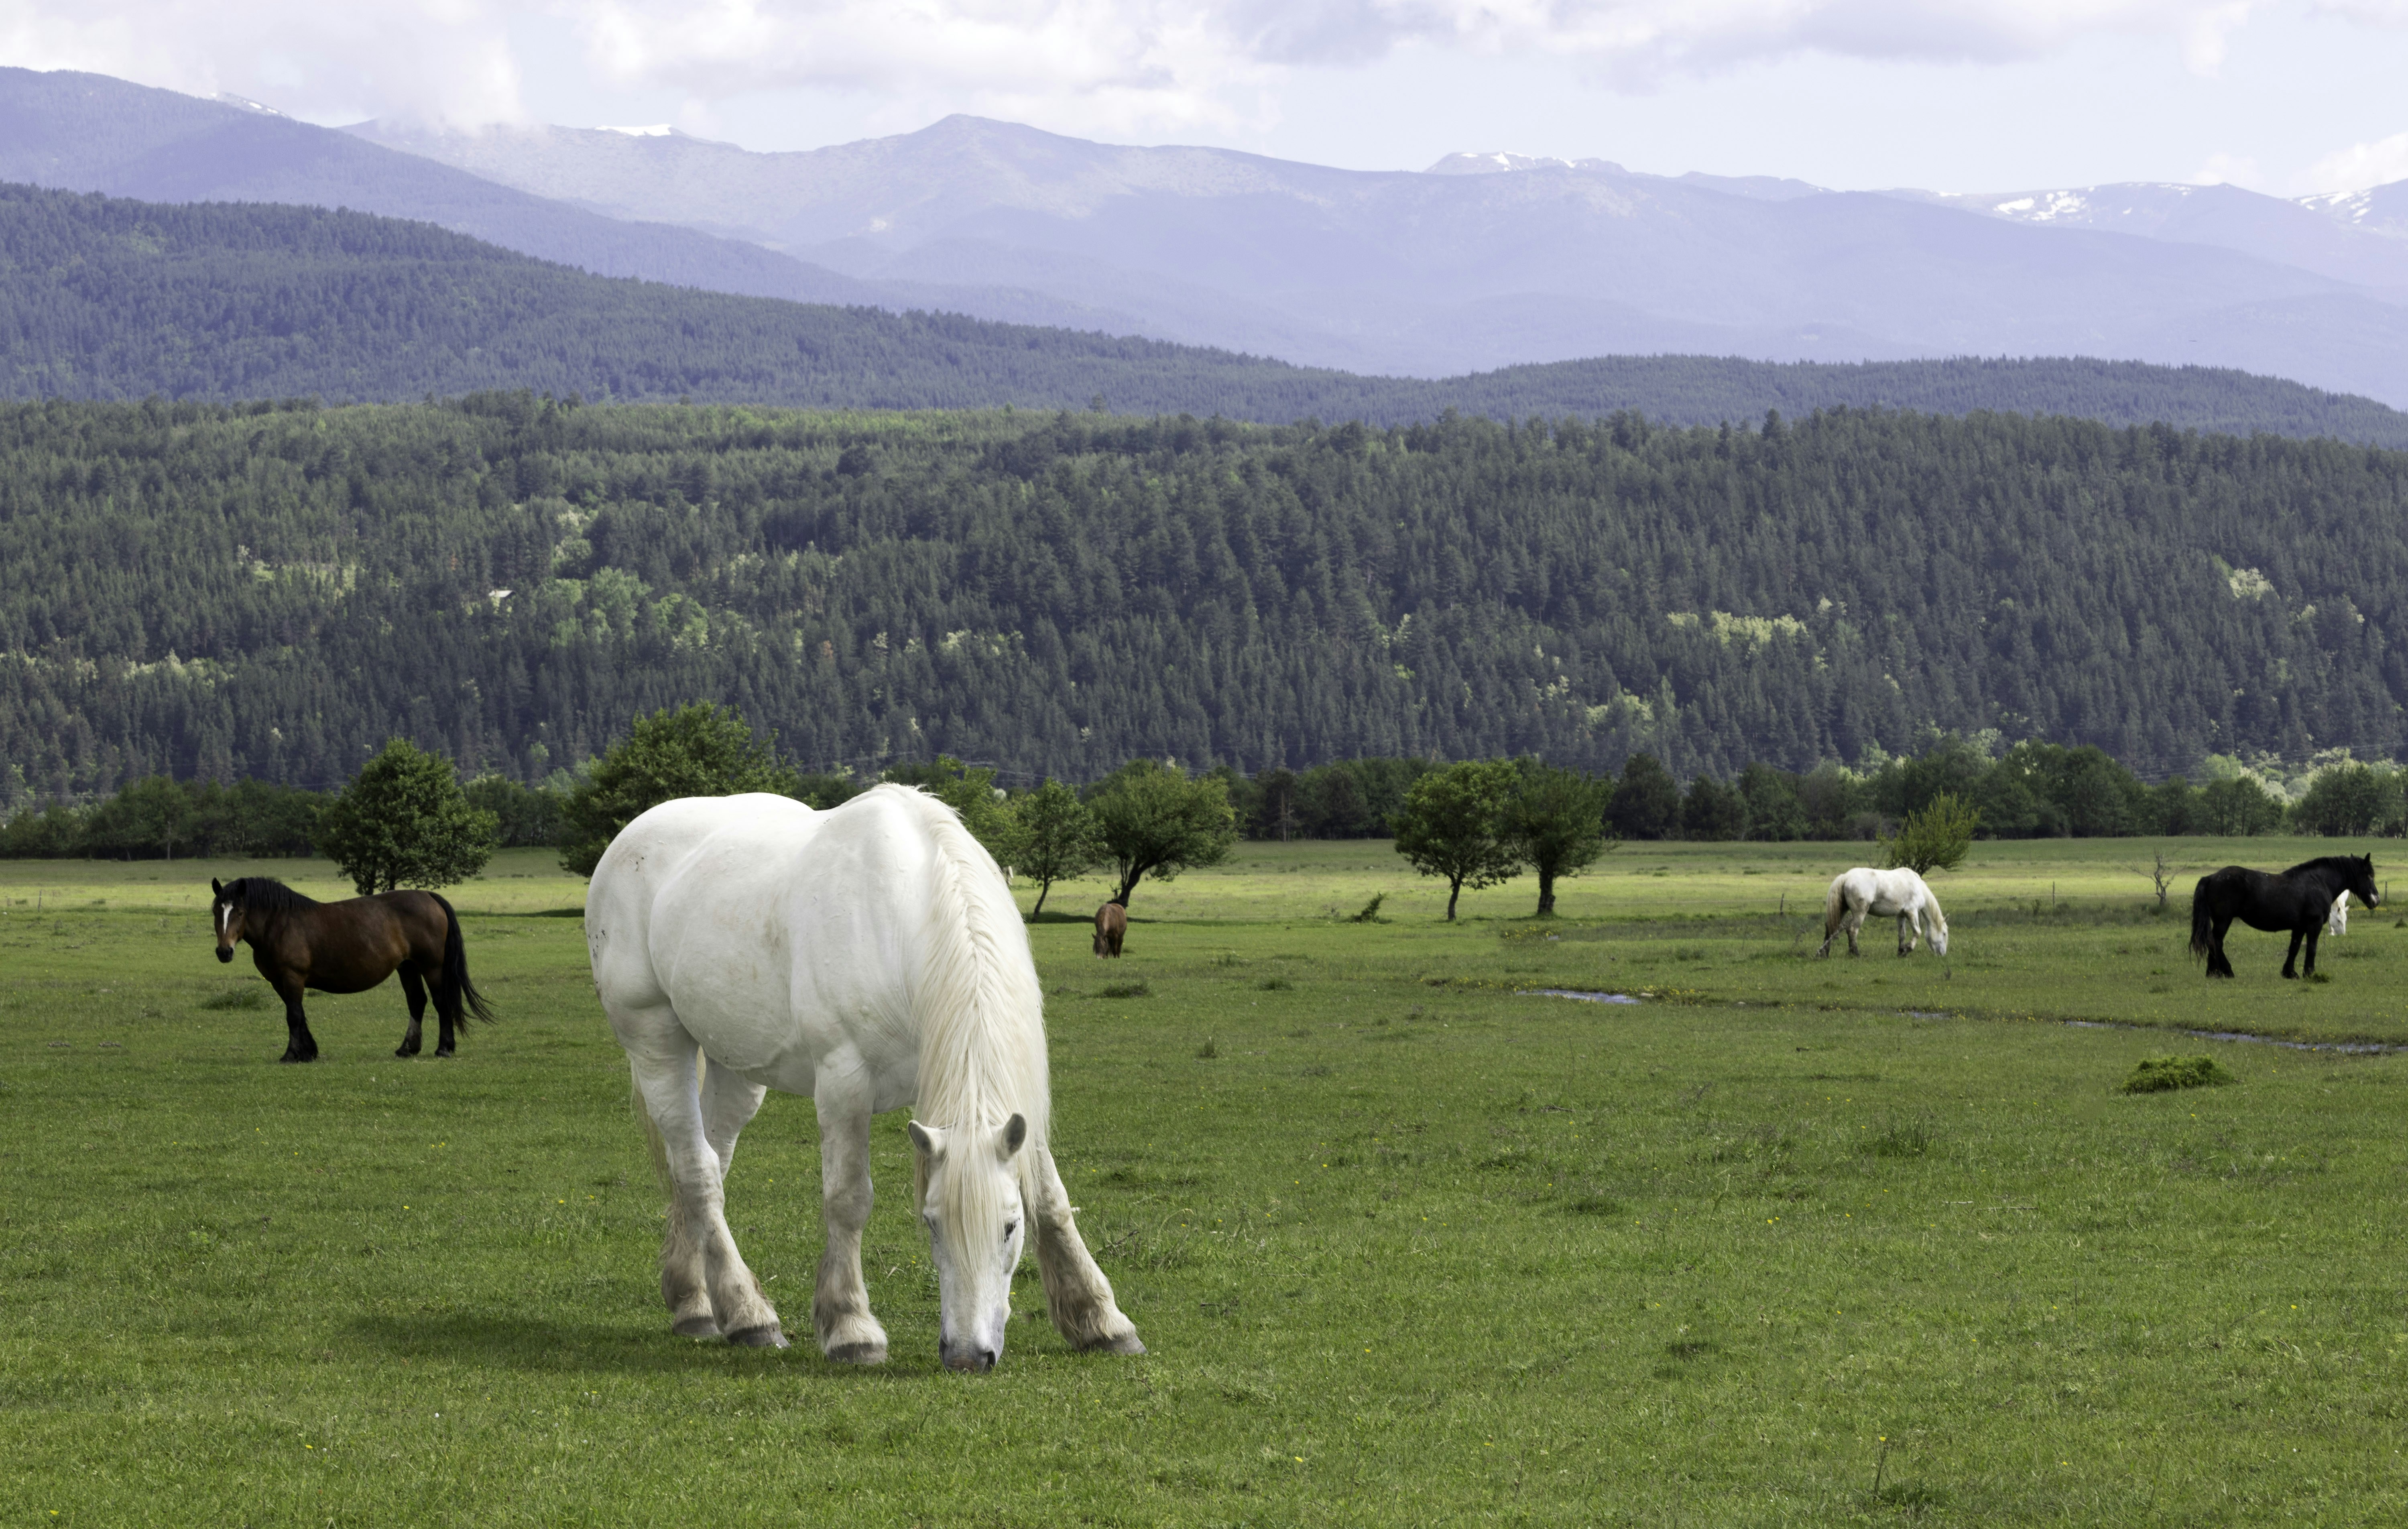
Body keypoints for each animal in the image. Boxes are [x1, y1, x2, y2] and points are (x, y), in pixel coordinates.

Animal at [210, 876, 494, 1062]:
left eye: (240, 912)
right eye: (216, 911)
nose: (224, 952)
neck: (281, 924)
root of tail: (428, 896)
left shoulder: (293, 977)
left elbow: (293, 1015)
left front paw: (292, 1054)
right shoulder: (279, 981)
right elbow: (299, 1014)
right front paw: (309, 1052)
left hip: (432, 966)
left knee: (440, 1002)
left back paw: (444, 1048)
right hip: (408, 967)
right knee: (417, 1002)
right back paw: (407, 1049)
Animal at [1093, 901, 1127, 958]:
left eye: (1103, 946)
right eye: (1096, 946)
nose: (1099, 958)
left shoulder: (1116, 936)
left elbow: (1115, 948)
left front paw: (1115, 957)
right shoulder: (1106, 935)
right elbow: (1108, 947)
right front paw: (1106, 957)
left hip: (1121, 936)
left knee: (1119, 947)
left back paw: (1118, 956)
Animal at [1815, 867, 1950, 958]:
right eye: (1944, 934)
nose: (1943, 954)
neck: (1919, 888)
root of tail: (1846, 877)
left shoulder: (1901, 915)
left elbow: (1902, 934)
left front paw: (1901, 952)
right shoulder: (1911, 912)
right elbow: (1917, 933)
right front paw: (1908, 949)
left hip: (1842, 910)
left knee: (1831, 927)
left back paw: (1825, 953)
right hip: (1860, 913)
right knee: (1853, 930)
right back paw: (1856, 954)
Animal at [2189, 855, 2378, 979]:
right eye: (2369, 876)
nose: (2376, 900)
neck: (2319, 882)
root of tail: (2211, 878)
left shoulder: (2299, 927)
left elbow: (2294, 948)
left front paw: (2290, 973)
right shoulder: (2314, 924)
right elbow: (2312, 948)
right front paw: (2309, 973)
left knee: (2212, 942)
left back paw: (2213, 973)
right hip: (2223, 920)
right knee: (2216, 942)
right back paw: (2226, 971)